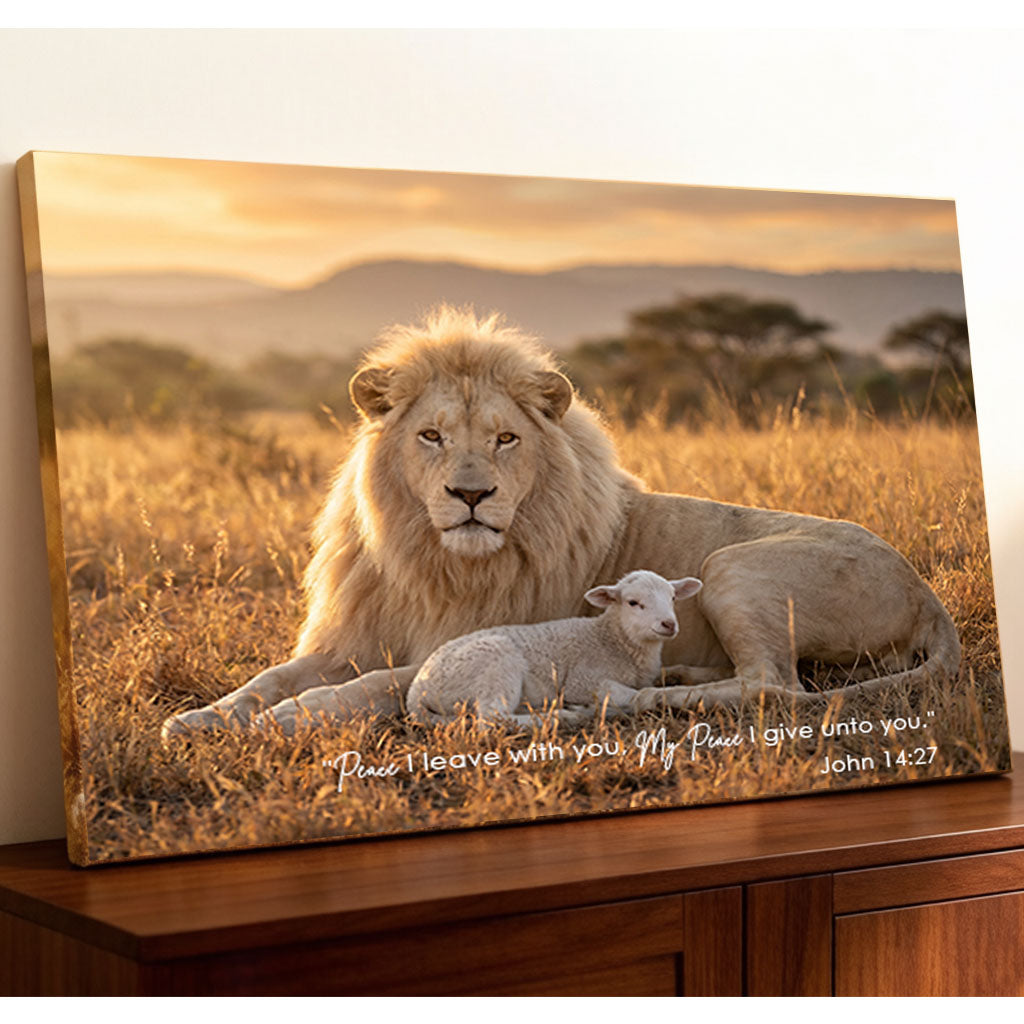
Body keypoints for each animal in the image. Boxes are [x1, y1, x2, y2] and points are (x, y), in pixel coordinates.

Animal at [406, 570, 703, 725]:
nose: (669, 624)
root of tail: (416, 690)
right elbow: (631, 694)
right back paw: (563, 716)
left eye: (673, 597)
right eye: (633, 603)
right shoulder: (582, 680)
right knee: (493, 718)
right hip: (494, 661)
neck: (611, 639)